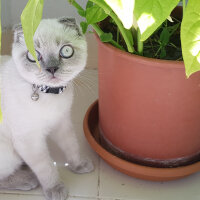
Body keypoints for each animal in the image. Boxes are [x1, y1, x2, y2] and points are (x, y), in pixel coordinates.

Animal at [0, 17, 94, 200]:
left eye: (66, 51)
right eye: (33, 56)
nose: (51, 69)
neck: (51, 95)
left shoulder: (61, 123)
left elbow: (72, 147)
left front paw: (79, 165)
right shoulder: (29, 140)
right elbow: (46, 167)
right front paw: (55, 189)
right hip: (8, 154)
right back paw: (28, 180)